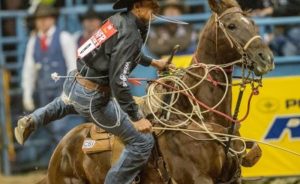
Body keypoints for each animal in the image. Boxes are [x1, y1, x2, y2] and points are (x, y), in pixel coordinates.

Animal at [39, 0, 274, 183]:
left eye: (253, 23)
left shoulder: (231, 178)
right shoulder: (196, 178)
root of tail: (60, 151)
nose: (266, 58)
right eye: (231, 25)